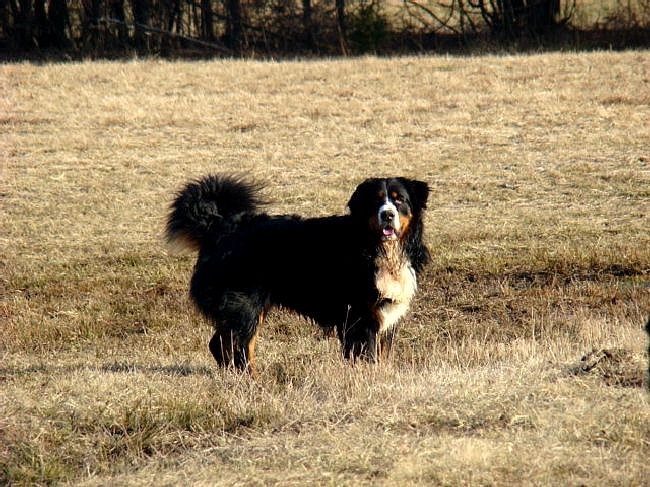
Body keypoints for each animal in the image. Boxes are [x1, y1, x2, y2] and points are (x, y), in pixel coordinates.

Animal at [165, 174, 428, 374]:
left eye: (400, 200)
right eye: (375, 202)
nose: (388, 215)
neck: (379, 248)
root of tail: (218, 226)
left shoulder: (384, 314)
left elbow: (382, 355)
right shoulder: (360, 316)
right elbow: (366, 356)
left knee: (229, 345)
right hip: (243, 304)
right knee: (231, 345)